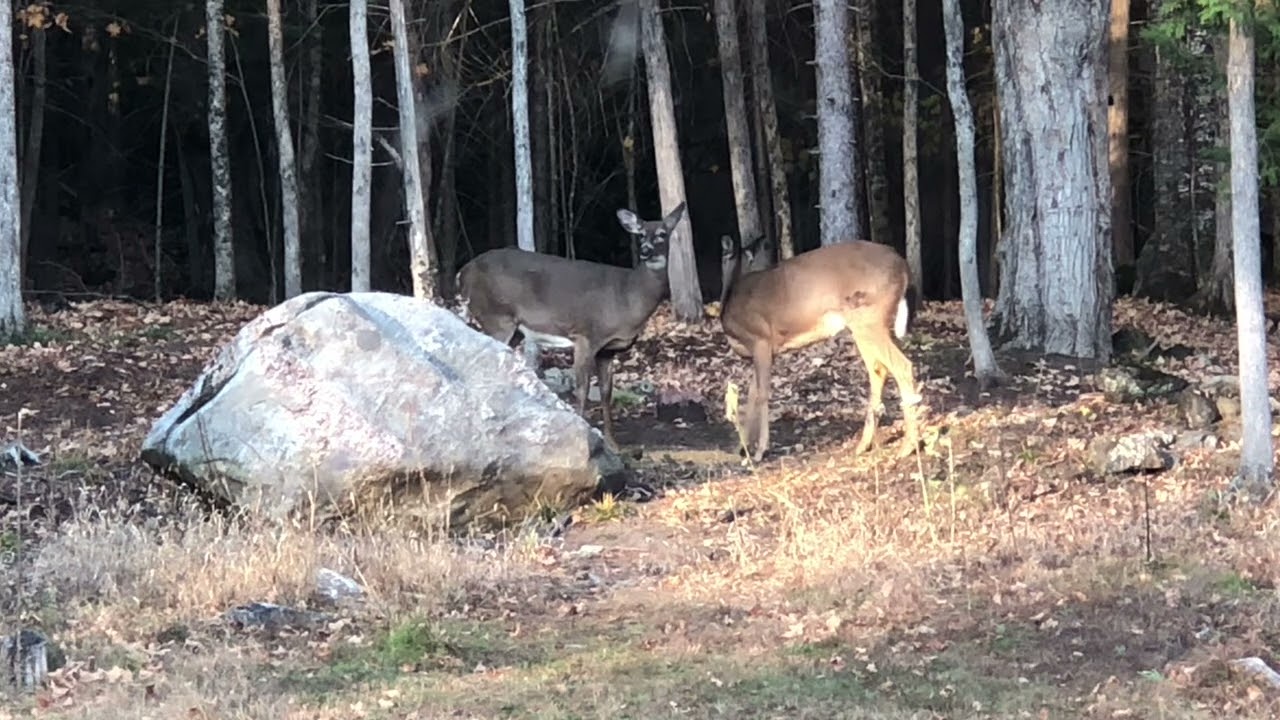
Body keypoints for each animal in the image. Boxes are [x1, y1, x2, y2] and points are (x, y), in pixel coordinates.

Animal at [456, 202, 687, 450]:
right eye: (641, 234)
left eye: (662, 234)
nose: (645, 250)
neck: (628, 297)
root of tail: (462, 273)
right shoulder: (585, 335)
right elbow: (582, 388)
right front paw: (585, 435)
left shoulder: (608, 350)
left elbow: (606, 392)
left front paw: (612, 444)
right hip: (497, 316)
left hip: (512, 329)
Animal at [719, 236, 923, 462]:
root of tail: (903, 265)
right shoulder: (764, 352)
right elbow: (751, 394)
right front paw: (742, 446)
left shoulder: (761, 340)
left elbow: (762, 394)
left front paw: (759, 451)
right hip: (868, 324)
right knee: (879, 370)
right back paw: (864, 445)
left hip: (868, 318)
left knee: (901, 366)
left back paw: (907, 447)